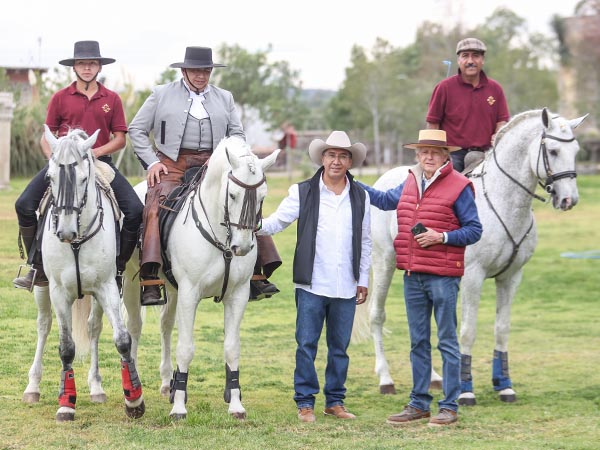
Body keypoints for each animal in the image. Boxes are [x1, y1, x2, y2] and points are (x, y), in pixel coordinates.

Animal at [24, 126, 145, 422]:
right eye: (50, 177)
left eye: (82, 178)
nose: (66, 232)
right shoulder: (58, 291)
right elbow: (66, 346)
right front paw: (66, 402)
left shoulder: (107, 287)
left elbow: (122, 340)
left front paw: (134, 399)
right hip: (42, 288)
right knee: (44, 325)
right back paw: (32, 386)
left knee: (93, 328)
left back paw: (96, 388)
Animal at [123, 136, 278, 418]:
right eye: (232, 194)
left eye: (263, 196)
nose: (242, 247)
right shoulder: (189, 294)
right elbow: (186, 348)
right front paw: (179, 407)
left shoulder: (237, 296)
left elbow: (231, 347)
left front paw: (235, 403)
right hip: (131, 282)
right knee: (134, 327)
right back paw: (135, 388)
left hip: (173, 291)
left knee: (165, 325)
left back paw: (167, 383)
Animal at [354, 108, 588, 404]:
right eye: (554, 151)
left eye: (576, 150)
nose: (569, 200)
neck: (501, 202)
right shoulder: (472, 277)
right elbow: (467, 332)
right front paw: (465, 389)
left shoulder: (511, 278)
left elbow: (501, 329)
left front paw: (504, 384)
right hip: (384, 261)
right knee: (377, 315)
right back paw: (386, 378)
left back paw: (433, 377)